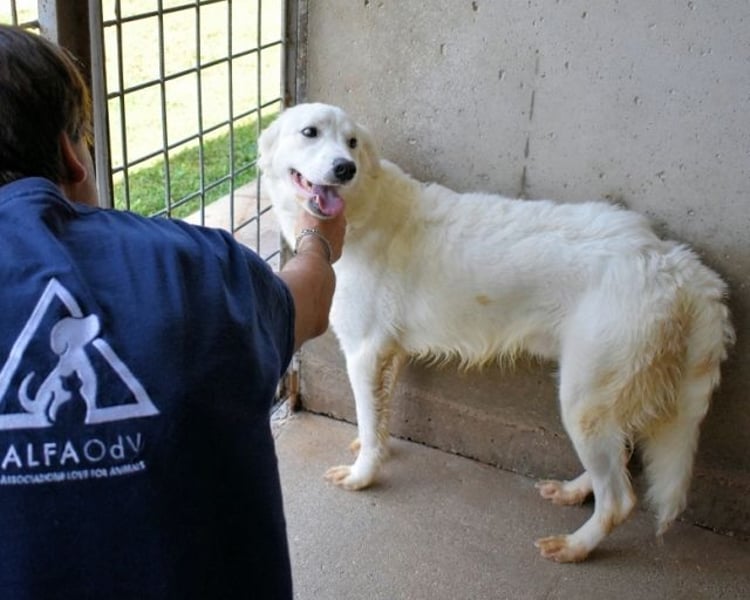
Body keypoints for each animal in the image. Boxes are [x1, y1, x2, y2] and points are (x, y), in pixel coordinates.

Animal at [258, 102, 734, 562]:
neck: (364, 209)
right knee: (621, 456)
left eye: (352, 143)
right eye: (310, 132)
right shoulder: (388, 354)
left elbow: (369, 417)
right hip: (603, 396)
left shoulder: (363, 352)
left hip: (583, 400)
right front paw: (369, 445)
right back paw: (575, 491)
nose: (345, 168)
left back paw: (576, 547)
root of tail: (669, 259)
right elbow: (379, 414)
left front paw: (364, 476)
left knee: (620, 499)